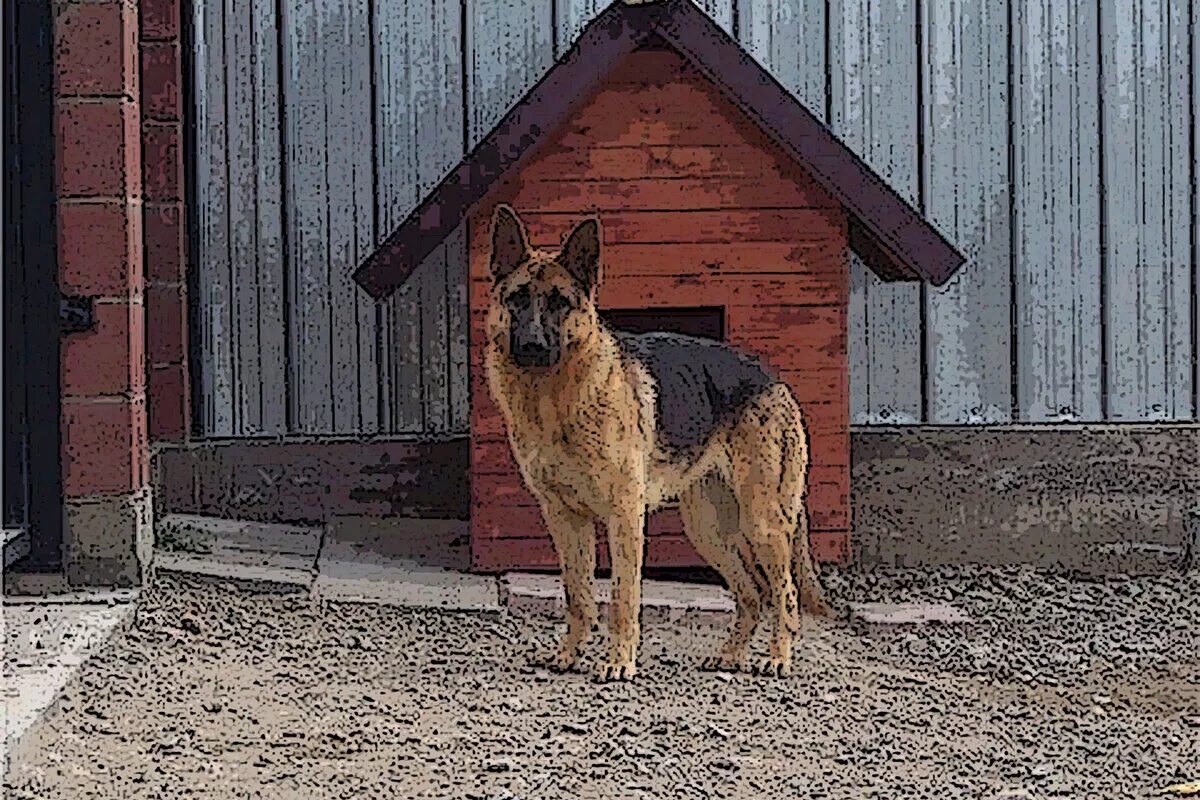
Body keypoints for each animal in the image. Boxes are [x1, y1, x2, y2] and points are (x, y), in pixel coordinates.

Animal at [482, 205, 830, 681]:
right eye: (517, 299)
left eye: (559, 303)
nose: (533, 345)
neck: (555, 400)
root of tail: (775, 380)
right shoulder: (564, 519)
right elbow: (578, 595)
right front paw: (569, 655)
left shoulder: (624, 517)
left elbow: (623, 598)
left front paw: (619, 662)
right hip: (707, 531)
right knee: (752, 594)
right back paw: (730, 655)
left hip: (763, 523)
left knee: (785, 595)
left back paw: (778, 657)